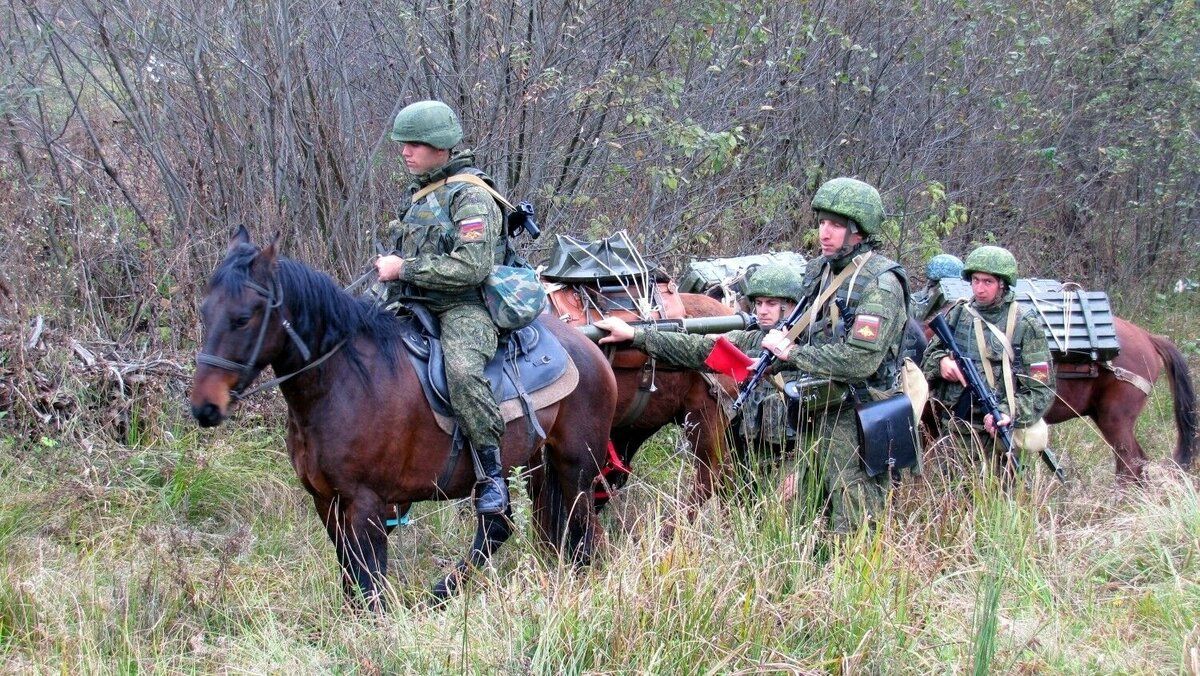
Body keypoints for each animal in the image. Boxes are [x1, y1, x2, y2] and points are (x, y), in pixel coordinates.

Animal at [193, 230, 619, 609]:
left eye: (242, 318)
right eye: (204, 311)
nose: (204, 407)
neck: (344, 382)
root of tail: (589, 348)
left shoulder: (365, 504)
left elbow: (369, 583)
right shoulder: (327, 503)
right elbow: (351, 579)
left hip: (576, 467)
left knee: (584, 532)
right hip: (530, 465)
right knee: (499, 526)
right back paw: (440, 593)